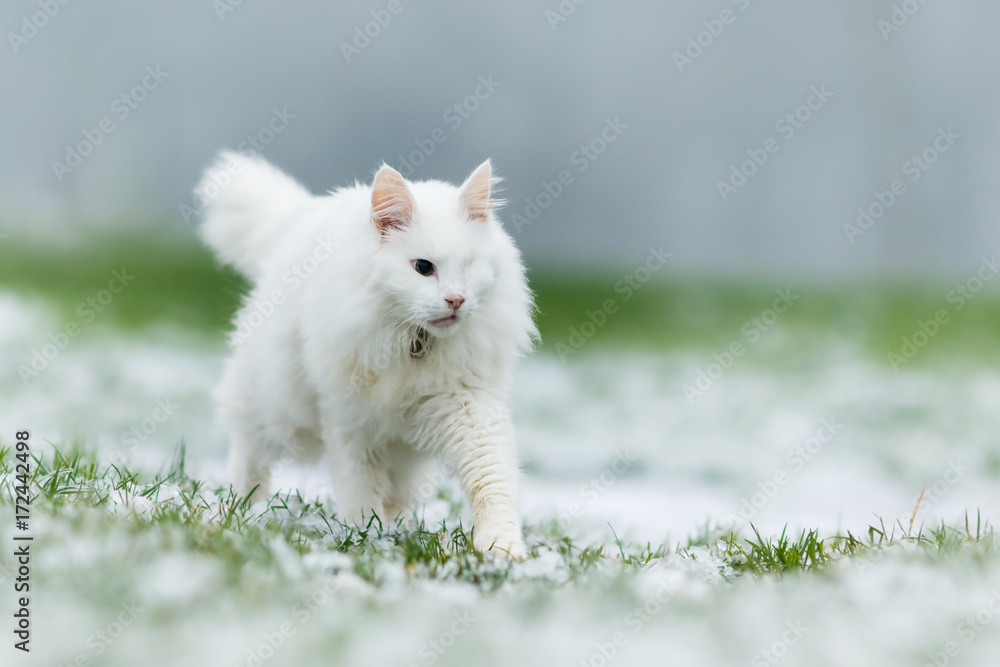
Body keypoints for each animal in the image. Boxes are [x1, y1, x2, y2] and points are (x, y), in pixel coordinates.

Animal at [197, 150, 540, 560]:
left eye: (469, 266)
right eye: (423, 268)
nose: (456, 300)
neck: (412, 341)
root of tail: (302, 217)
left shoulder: (469, 404)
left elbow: (491, 480)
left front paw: (501, 548)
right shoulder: (351, 422)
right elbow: (359, 489)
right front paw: (363, 536)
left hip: (402, 450)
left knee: (398, 493)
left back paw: (398, 526)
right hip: (274, 409)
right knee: (249, 456)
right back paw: (242, 508)